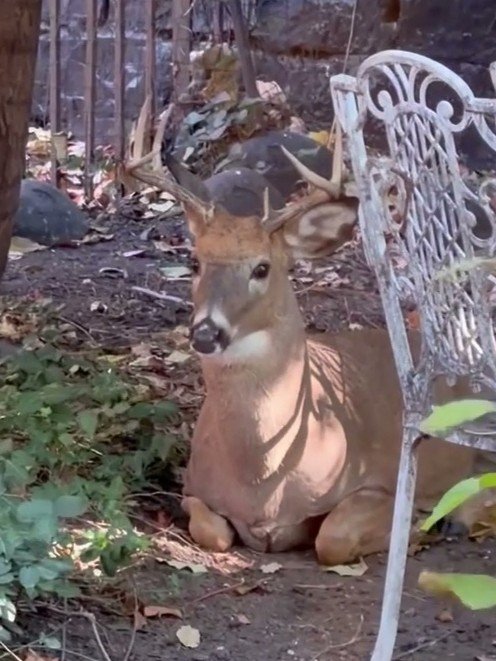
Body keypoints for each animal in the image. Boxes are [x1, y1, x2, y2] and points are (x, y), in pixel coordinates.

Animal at [126, 134, 492, 566]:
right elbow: (211, 531)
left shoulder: (378, 483)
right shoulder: (193, 489)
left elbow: (332, 539)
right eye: (195, 261)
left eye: (262, 268)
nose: (205, 333)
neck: (263, 486)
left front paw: (421, 527)